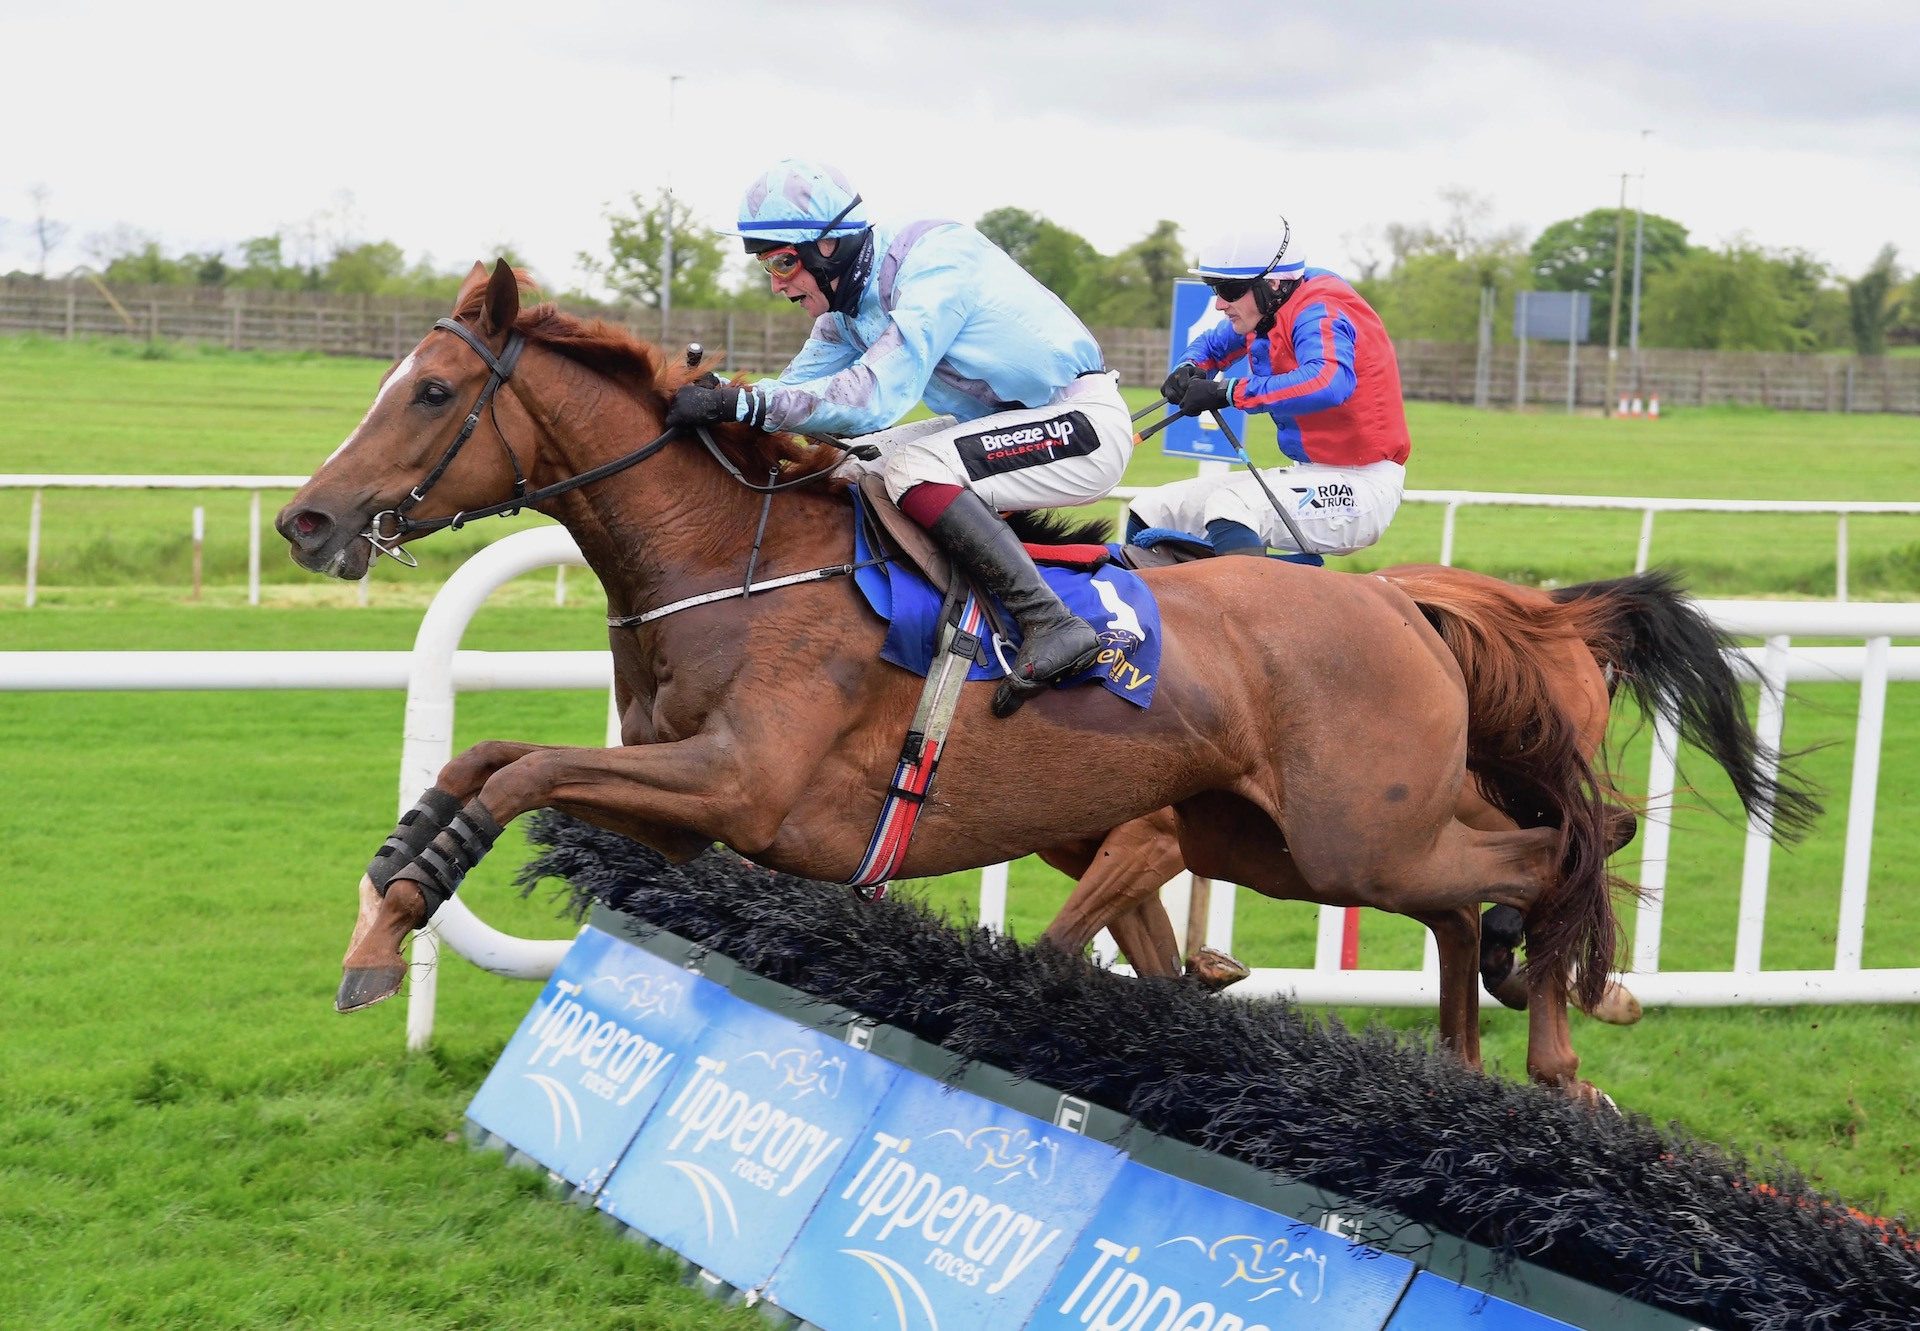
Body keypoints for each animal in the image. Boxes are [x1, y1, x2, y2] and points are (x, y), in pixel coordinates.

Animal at [280, 265, 1766, 1098]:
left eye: (430, 393)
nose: (306, 519)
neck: (732, 563)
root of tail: (1399, 599)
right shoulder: (682, 804)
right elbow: (486, 760)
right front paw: (385, 899)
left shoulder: (744, 787)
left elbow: (522, 765)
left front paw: (387, 923)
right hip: (1292, 838)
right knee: (1485, 882)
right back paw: (1484, 1051)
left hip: (1359, 832)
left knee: (1563, 839)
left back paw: (1562, 1022)